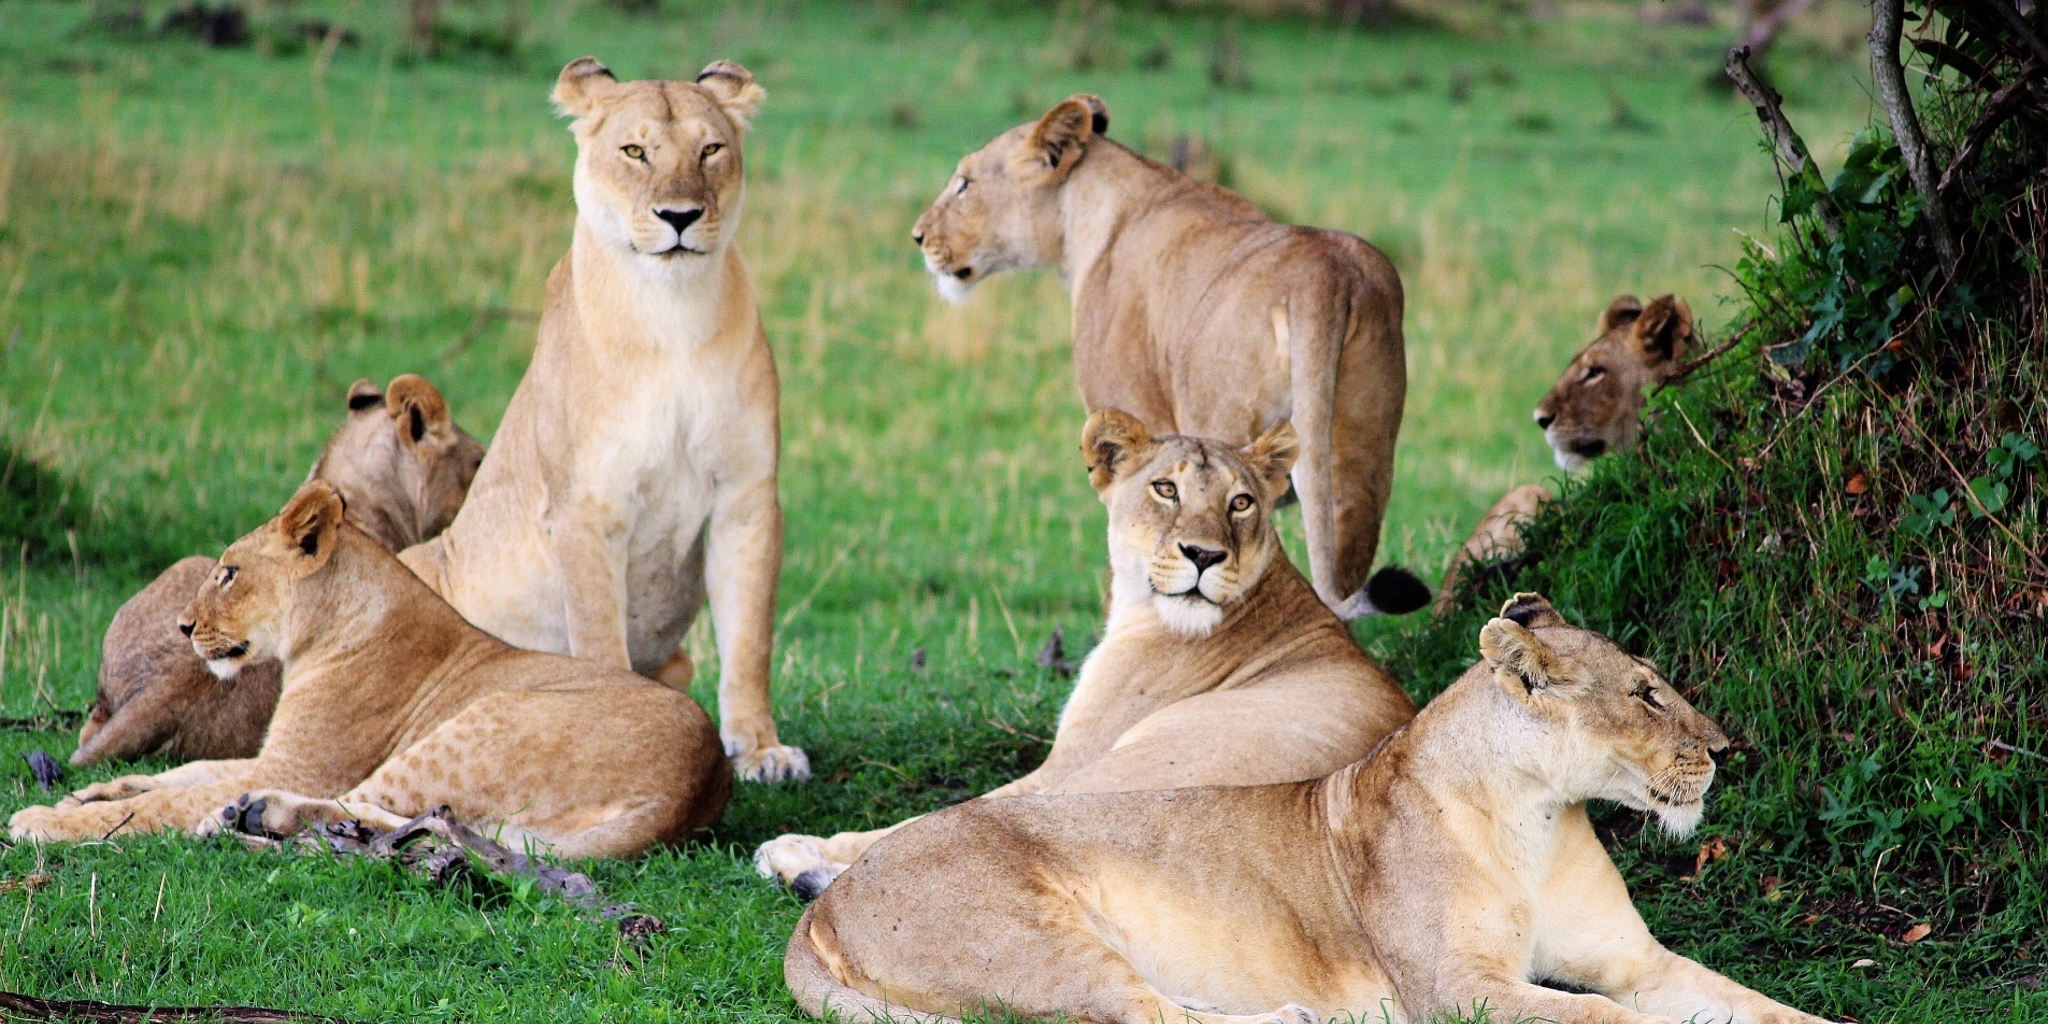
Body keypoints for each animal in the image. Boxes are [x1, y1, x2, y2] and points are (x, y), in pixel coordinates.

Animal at [11, 480, 729, 858]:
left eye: (230, 572)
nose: (183, 628)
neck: (317, 636)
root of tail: (700, 781)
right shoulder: (277, 756)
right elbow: (183, 772)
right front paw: (94, 793)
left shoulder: (299, 766)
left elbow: (172, 798)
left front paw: (46, 822)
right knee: (435, 823)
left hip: (481, 723)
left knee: (378, 807)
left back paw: (250, 816)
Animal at [397, 57, 808, 783]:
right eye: (635, 151)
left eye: (710, 149)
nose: (680, 216)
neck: (673, 316)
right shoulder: (587, 508)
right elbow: (596, 635)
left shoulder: (747, 496)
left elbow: (750, 638)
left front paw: (762, 750)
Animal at [783, 593, 1838, 1024]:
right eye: (1648, 694)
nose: (1727, 750)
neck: (1535, 817)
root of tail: (828, 901)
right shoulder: (1457, 990)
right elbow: (1605, 1019)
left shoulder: (1636, 960)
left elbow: (1754, 1004)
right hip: (1034, 937)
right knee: (1130, 1014)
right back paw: (1293, 1017)